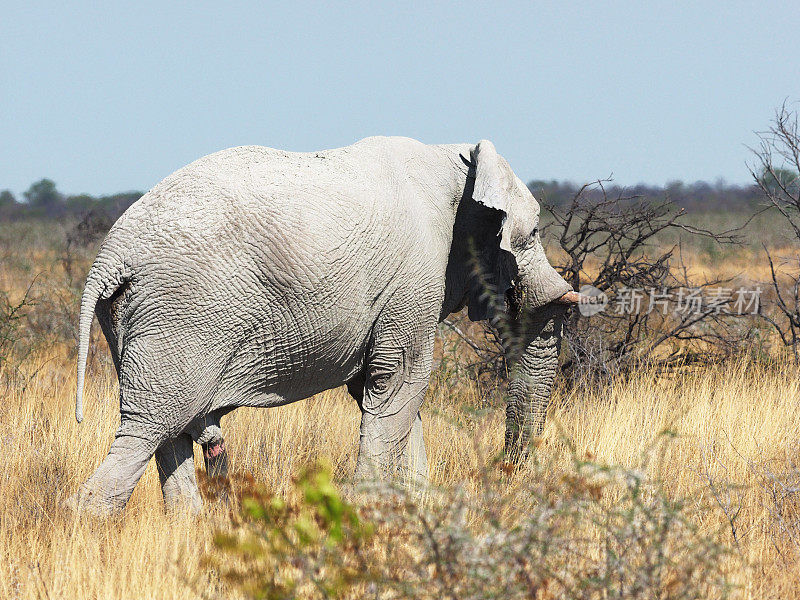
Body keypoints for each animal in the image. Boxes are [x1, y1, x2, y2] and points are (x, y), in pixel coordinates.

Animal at [72, 135, 580, 510]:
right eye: (533, 233)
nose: (507, 471)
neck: (455, 159)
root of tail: (111, 255)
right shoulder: (416, 272)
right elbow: (400, 382)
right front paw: (366, 512)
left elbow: (389, 396)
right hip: (184, 313)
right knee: (151, 427)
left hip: (136, 316)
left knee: (168, 433)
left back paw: (188, 526)